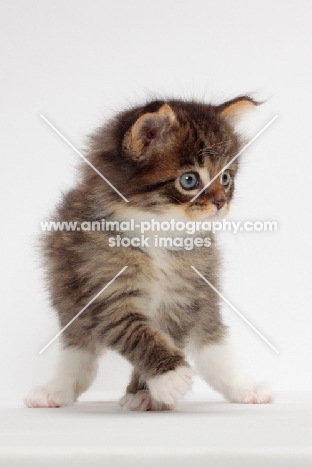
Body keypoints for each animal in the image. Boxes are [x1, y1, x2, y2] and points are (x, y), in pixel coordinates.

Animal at [25, 96, 272, 410]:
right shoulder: (102, 290)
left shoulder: (185, 295)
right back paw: (57, 390)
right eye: (189, 180)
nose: (220, 203)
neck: (157, 228)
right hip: (67, 298)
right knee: (78, 350)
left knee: (213, 343)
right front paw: (171, 379)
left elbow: (169, 335)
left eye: (226, 178)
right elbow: (138, 334)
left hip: (207, 303)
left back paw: (245, 388)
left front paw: (145, 393)